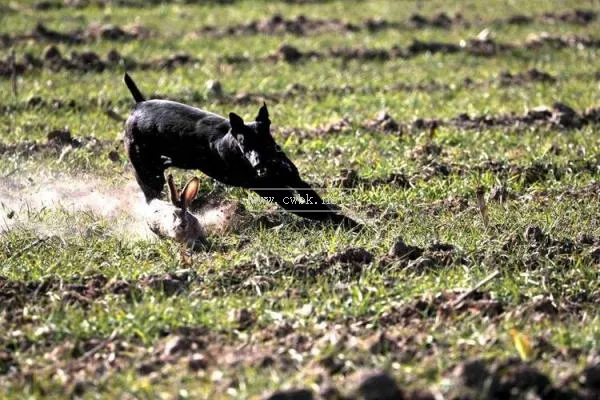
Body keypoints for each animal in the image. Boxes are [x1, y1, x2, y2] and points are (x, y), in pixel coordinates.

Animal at [122, 73, 356, 227]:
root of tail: (139, 105)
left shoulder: (295, 180)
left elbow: (315, 202)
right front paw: (348, 223)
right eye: (244, 143)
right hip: (149, 174)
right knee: (151, 197)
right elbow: (309, 210)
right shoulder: (275, 193)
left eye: (267, 139)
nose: (264, 168)